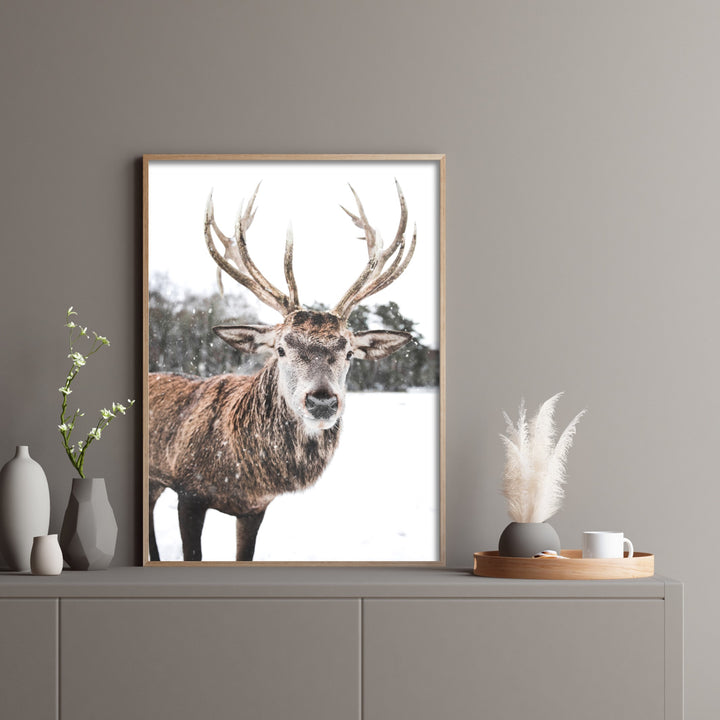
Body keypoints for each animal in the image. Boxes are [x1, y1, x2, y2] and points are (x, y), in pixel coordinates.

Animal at [148, 181, 417, 562]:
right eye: (280, 349)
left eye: (349, 352)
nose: (322, 401)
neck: (243, 476)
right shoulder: (188, 490)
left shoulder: (255, 509)